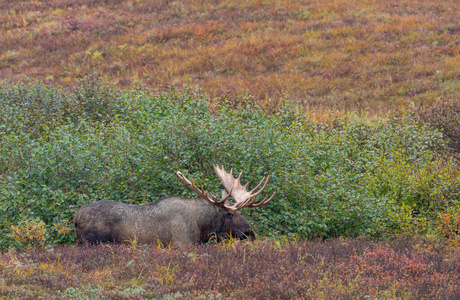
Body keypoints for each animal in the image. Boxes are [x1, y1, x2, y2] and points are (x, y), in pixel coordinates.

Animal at [72, 165, 274, 247]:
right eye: (229, 214)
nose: (251, 232)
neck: (202, 227)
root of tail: (75, 217)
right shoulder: (181, 243)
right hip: (93, 242)